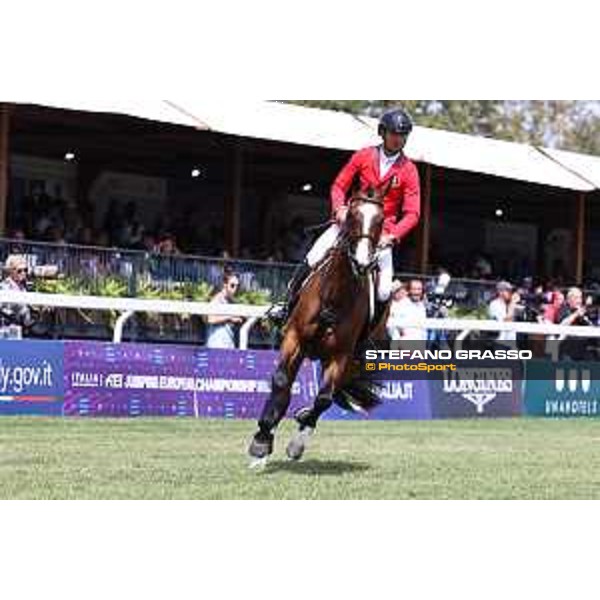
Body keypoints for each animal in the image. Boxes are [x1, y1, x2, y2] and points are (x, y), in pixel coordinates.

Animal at [247, 185, 392, 466]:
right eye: (352, 216)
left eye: (380, 220)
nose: (362, 263)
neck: (335, 296)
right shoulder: (294, 338)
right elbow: (281, 382)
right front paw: (262, 440)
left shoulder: (341, 355)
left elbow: (323, 398)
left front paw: (296, 443)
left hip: (350, 360)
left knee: (330, 395)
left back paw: (303, 418)